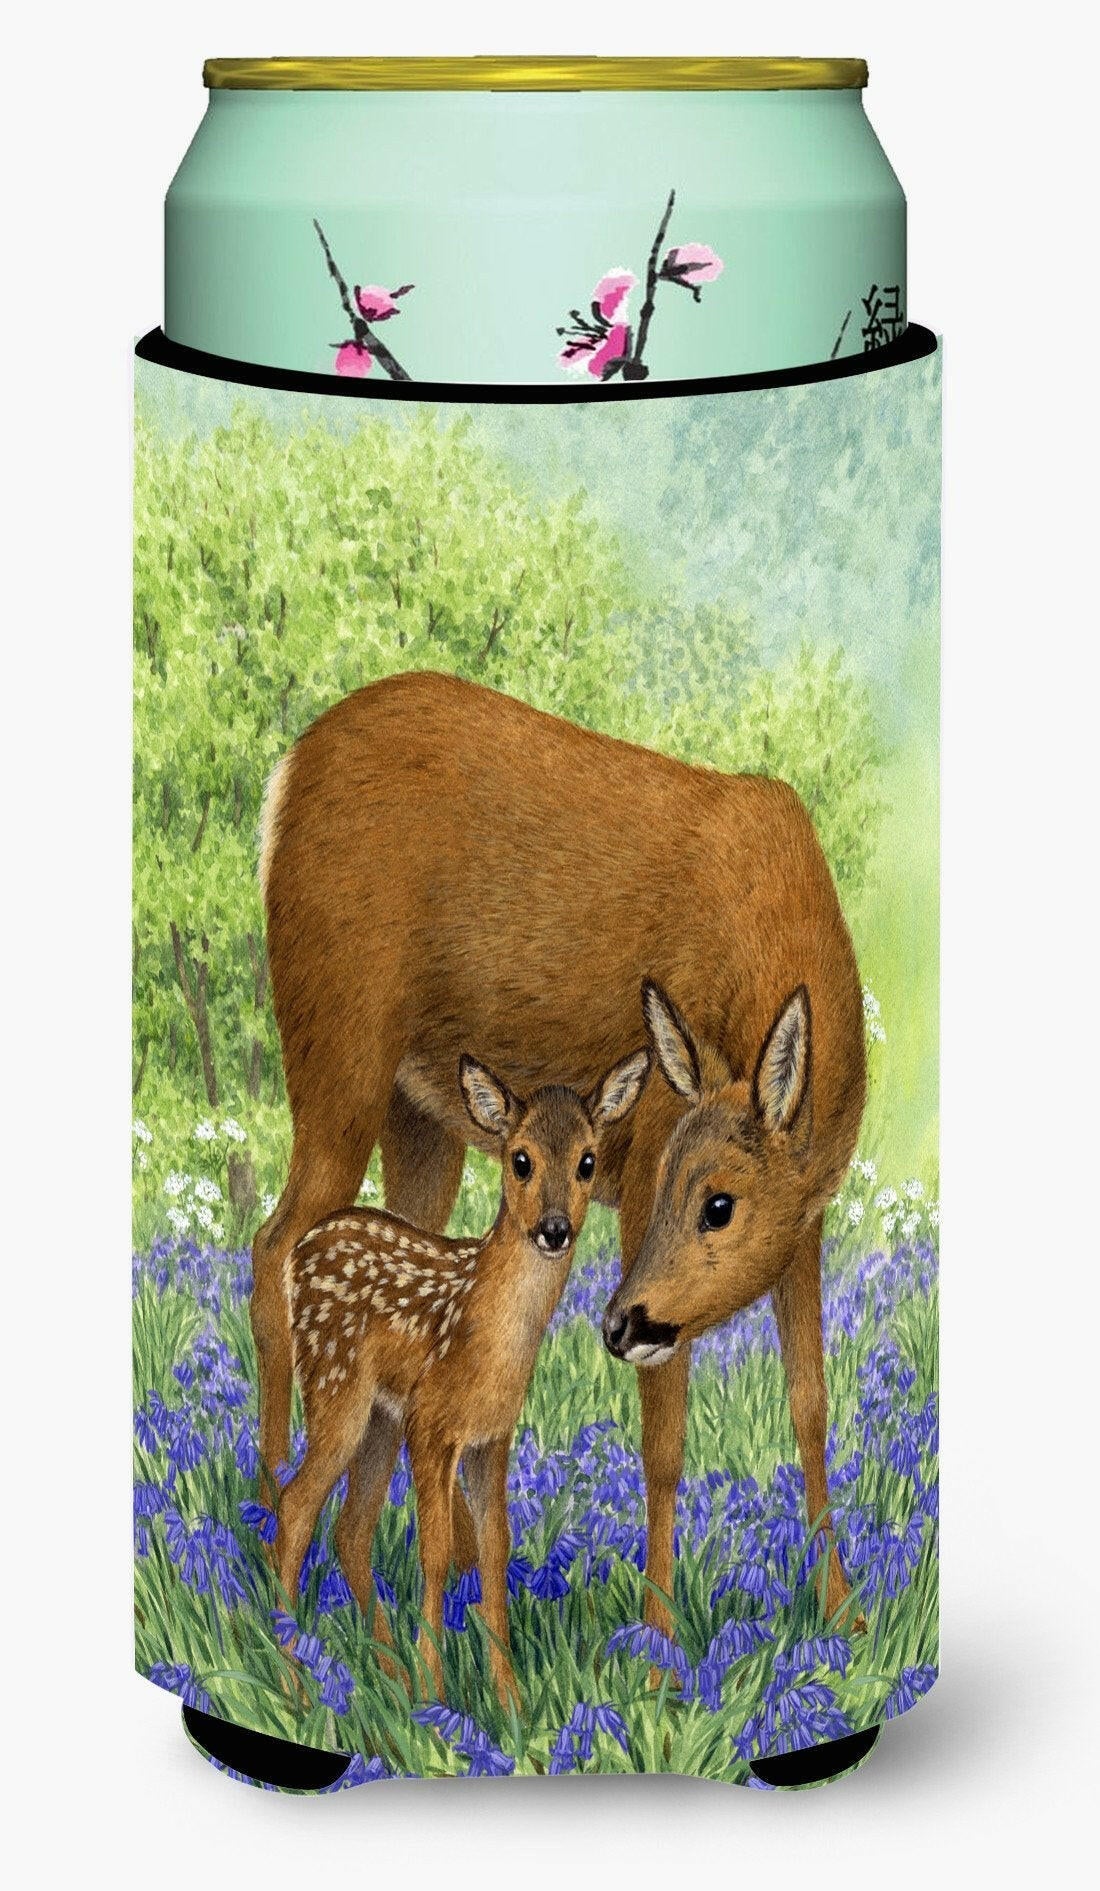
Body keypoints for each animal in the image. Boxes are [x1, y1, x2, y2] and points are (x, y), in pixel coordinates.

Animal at [275, 1047, 650, 1707]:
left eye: (587, 1161)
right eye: (520, 1159)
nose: (555, 1228)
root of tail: (297, 1256)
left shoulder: (490, 1437)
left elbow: (495, 1549)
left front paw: (509, 1699)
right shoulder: (431, 1426)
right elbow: (439, 1550)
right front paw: (436, 1691)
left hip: (379, 1417)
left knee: (350, 1529)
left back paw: (387, 1675)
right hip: (335, 1386)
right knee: (295, 1506)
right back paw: (295, 1678)